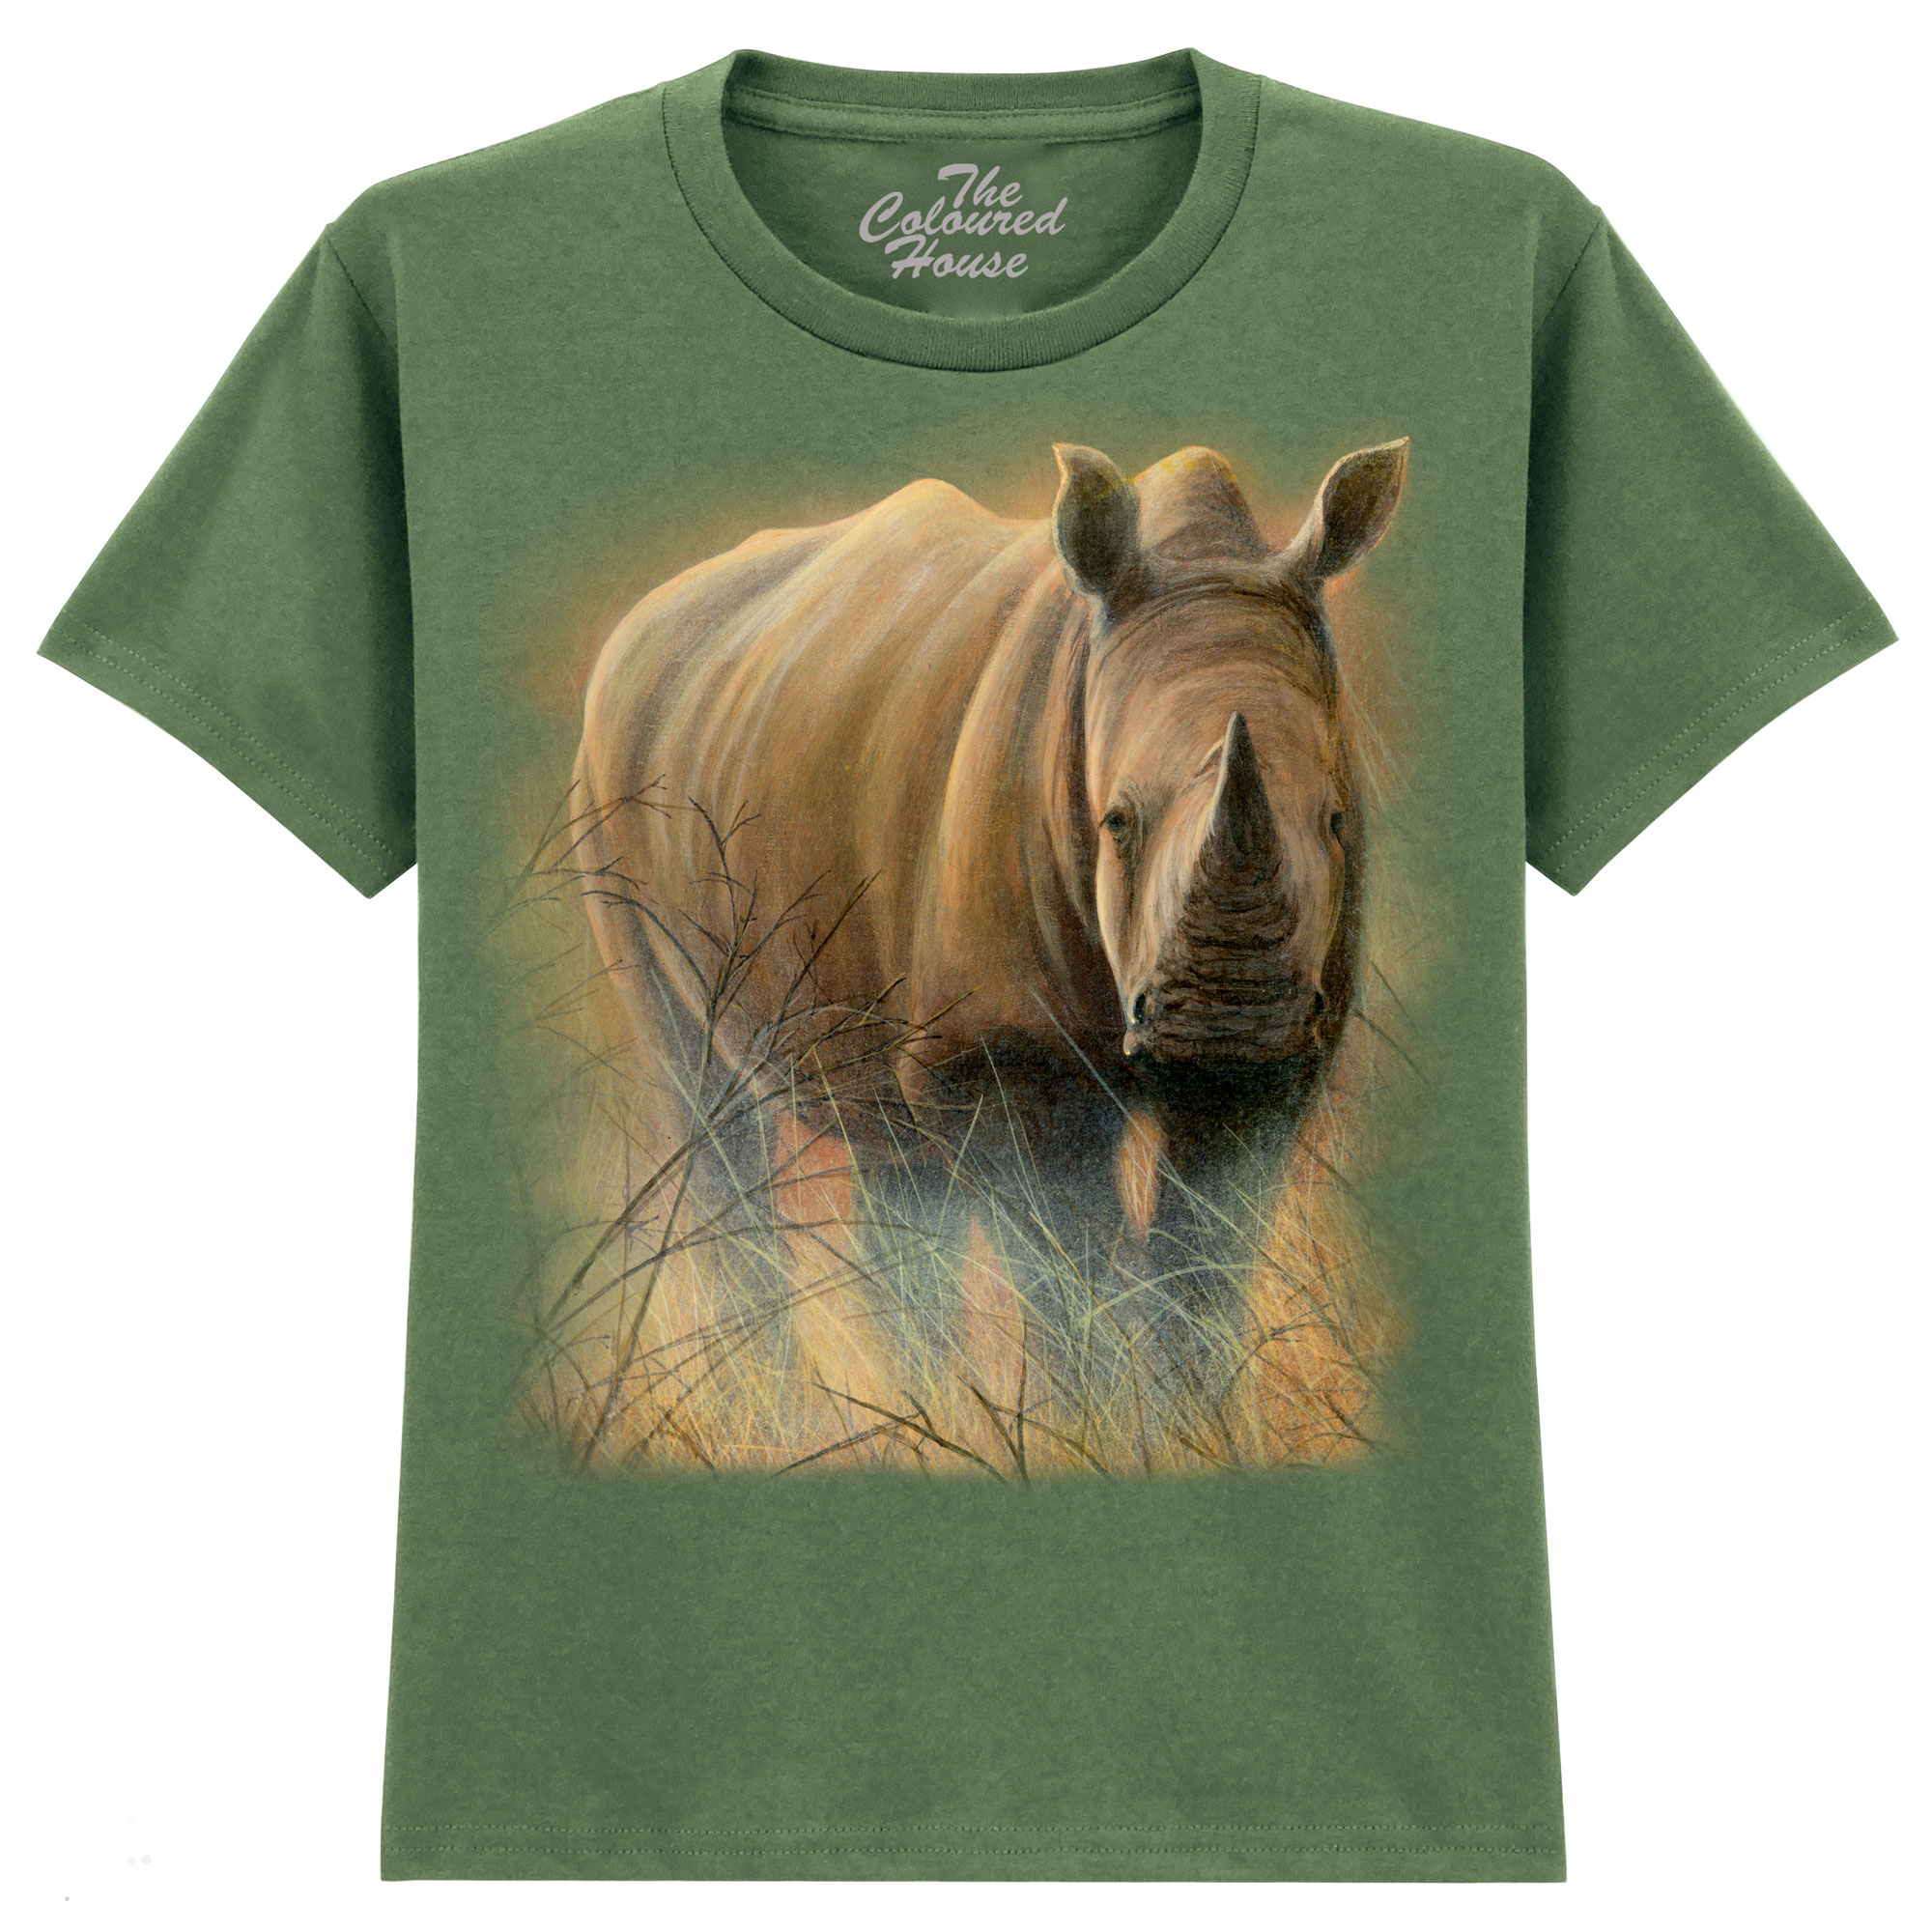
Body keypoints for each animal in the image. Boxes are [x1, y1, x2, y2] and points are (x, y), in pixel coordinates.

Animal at [574, 438, 1407, 1347]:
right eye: (1115, 822)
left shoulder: (1282, 1063)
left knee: (889, 1144)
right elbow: (1063, 1264)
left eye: (1336, 820)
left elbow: (1203, 1265)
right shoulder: (998, 1051)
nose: (1227, 1019)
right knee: (702, 1099)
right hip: (610, 776)